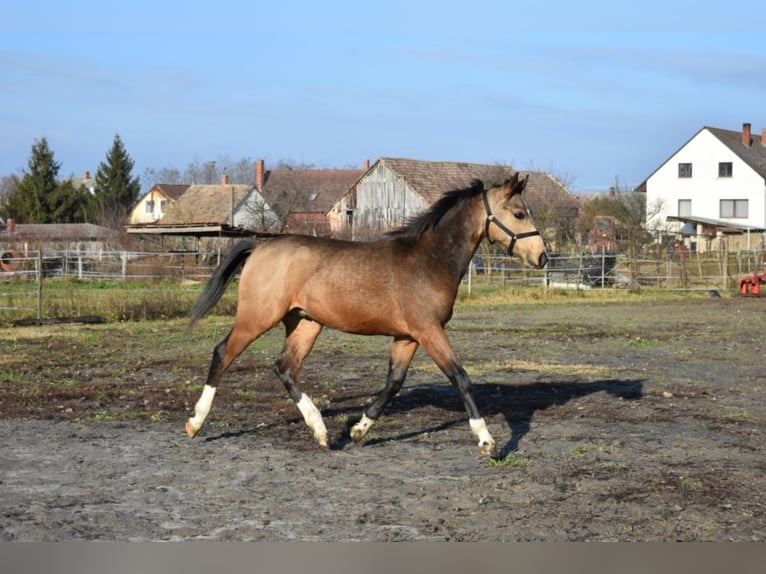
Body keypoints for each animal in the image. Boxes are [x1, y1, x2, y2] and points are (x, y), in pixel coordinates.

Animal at [188, 173, 548, 456]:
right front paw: (487, 441)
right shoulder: (429, 330)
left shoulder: (407, 336)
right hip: (258, 317)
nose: (542, 257)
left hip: (306, 323)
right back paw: (195, 423)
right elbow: (460, 377)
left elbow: (394, 382)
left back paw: (321, 431)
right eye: (518, 213)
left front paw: (358, 430)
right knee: (223, 353)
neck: (429, 260)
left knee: (285, 368)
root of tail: (259, 247)